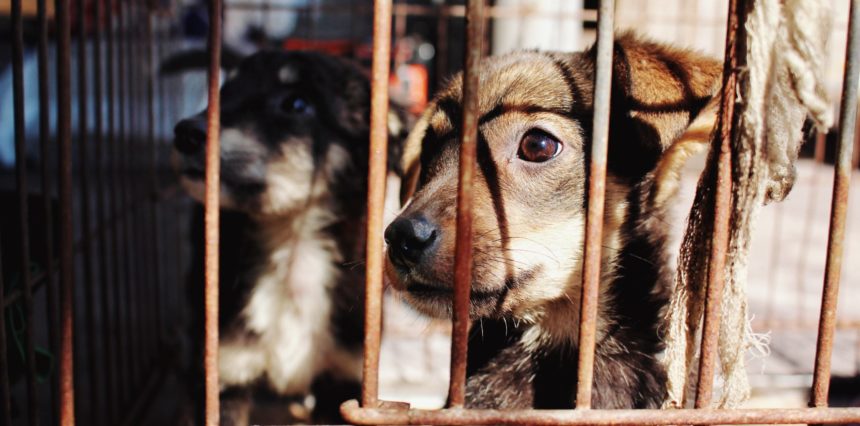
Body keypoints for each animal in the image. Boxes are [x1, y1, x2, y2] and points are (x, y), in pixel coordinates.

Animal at [171, 50, 406, 422]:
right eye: (225, 89)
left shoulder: (343, 376)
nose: (185, 133)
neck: (293, 246)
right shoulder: (223, 373)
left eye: (296, 103)